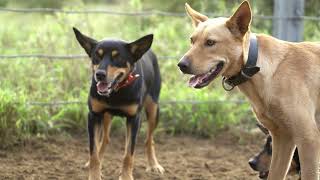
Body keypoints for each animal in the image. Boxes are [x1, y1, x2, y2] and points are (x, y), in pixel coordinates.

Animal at [72, 27, 162, 180]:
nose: (99, 74)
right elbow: (94, 151)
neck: (117, 91)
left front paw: (126, 176)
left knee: (149, 140)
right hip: (106, 115)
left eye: (117, 57)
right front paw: (94, 174)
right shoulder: (94, 115)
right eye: (97, 56)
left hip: (153, 109)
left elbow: (128, 154)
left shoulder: (134, 119)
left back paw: (153, 164)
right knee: (105, 139)